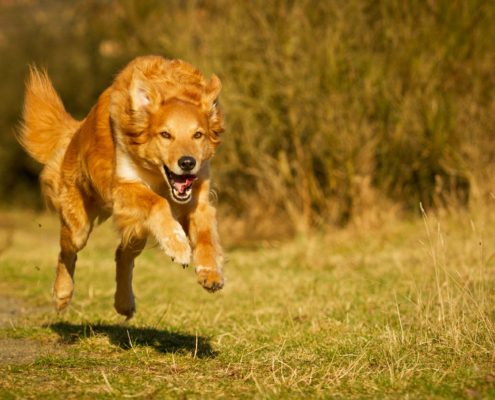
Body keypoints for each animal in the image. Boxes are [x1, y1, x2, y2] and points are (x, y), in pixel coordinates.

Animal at [18, 57, 225, 318]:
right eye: (165, 135)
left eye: (198, 135)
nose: (187, 163)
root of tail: (77, 132)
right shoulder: (122, 188)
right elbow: (158, 201)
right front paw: (178, 246)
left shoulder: (199, 199)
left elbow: (206, 237)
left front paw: (210, 271)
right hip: (79, 227)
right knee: (67, 251)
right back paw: (62, 293)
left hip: (137, 229)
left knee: (122, 255)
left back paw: (123, 302)